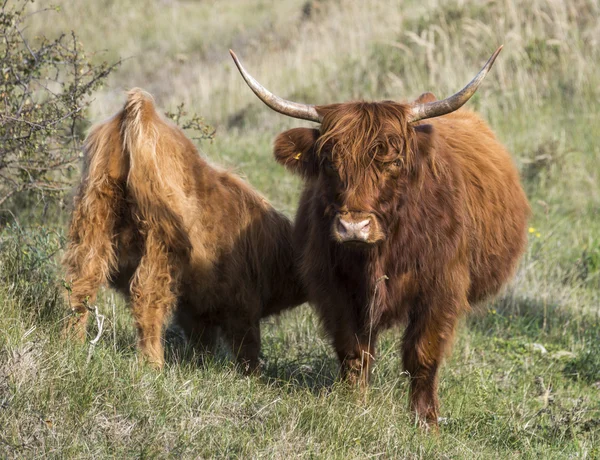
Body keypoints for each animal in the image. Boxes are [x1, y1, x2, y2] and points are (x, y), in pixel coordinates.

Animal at [62, 89, 304, 370]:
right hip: (162, 240)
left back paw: (73, 344)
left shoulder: (198, 308)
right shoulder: (242, 306)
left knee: (81, 282)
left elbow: (203, 343)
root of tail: (142, 110)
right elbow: (247, 348)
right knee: (146, 296)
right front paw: (250, 373)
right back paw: (153, 364)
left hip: (94, 213)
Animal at [230, 48, 528, 426]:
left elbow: (422, 354)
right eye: (329, 161)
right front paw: (354, 405)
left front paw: (425, 421)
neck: (379, 253)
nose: (353, 227)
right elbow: (353, 351)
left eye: (394, 161)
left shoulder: (441, 288)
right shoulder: (333, 288)